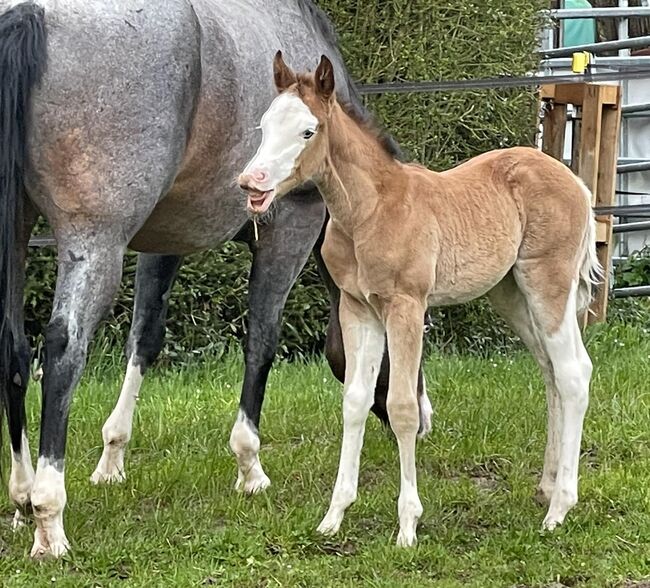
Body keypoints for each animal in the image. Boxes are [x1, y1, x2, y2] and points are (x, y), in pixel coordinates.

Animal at [0, 1, 430, 560]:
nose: (423, 420)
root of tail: (30, 13)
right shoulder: (290, 228)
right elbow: (261, 341)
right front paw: (250, 467)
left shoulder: (166, 241)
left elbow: (145, 339)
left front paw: (112, 459)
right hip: (95, 242)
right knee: (62, 350)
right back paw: (48, 515)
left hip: (18, 229)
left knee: (12, 349)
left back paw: (21, 496)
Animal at [237, 50, 596, 548]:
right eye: (265, 125)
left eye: (308, 131)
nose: (251, 183)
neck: (368, 211)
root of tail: (573, 180)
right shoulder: (358, 309)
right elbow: (355, 401)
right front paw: (334, 516)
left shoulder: (406, 306)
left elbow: (402, 407)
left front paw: (407, 525)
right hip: (510, 292)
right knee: (550, 372)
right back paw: (546, 487)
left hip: (549, 284)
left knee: (574, 373)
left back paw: (559, 508)